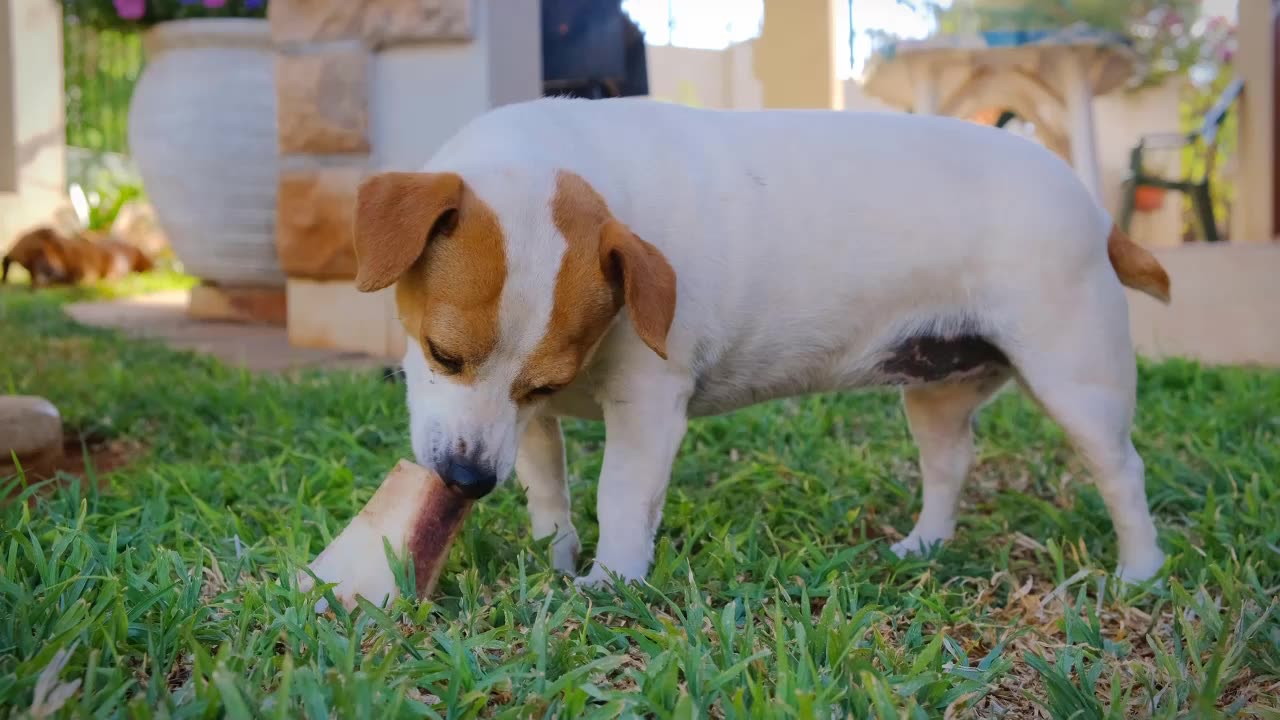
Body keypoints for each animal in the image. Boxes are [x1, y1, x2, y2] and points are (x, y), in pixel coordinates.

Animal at [348, 98, 1172, 591]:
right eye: (443, 355)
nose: (464, 480)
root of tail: (1095, 209)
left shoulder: (644, 407)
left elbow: (622, 495)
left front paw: (611, 581)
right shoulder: (527, 424)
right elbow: (549, 490)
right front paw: (555, 558)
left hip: (1076, 378)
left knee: (1122, 473)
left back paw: (1140, 570)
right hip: (935, 391)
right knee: (949, 466)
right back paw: (925, 546)